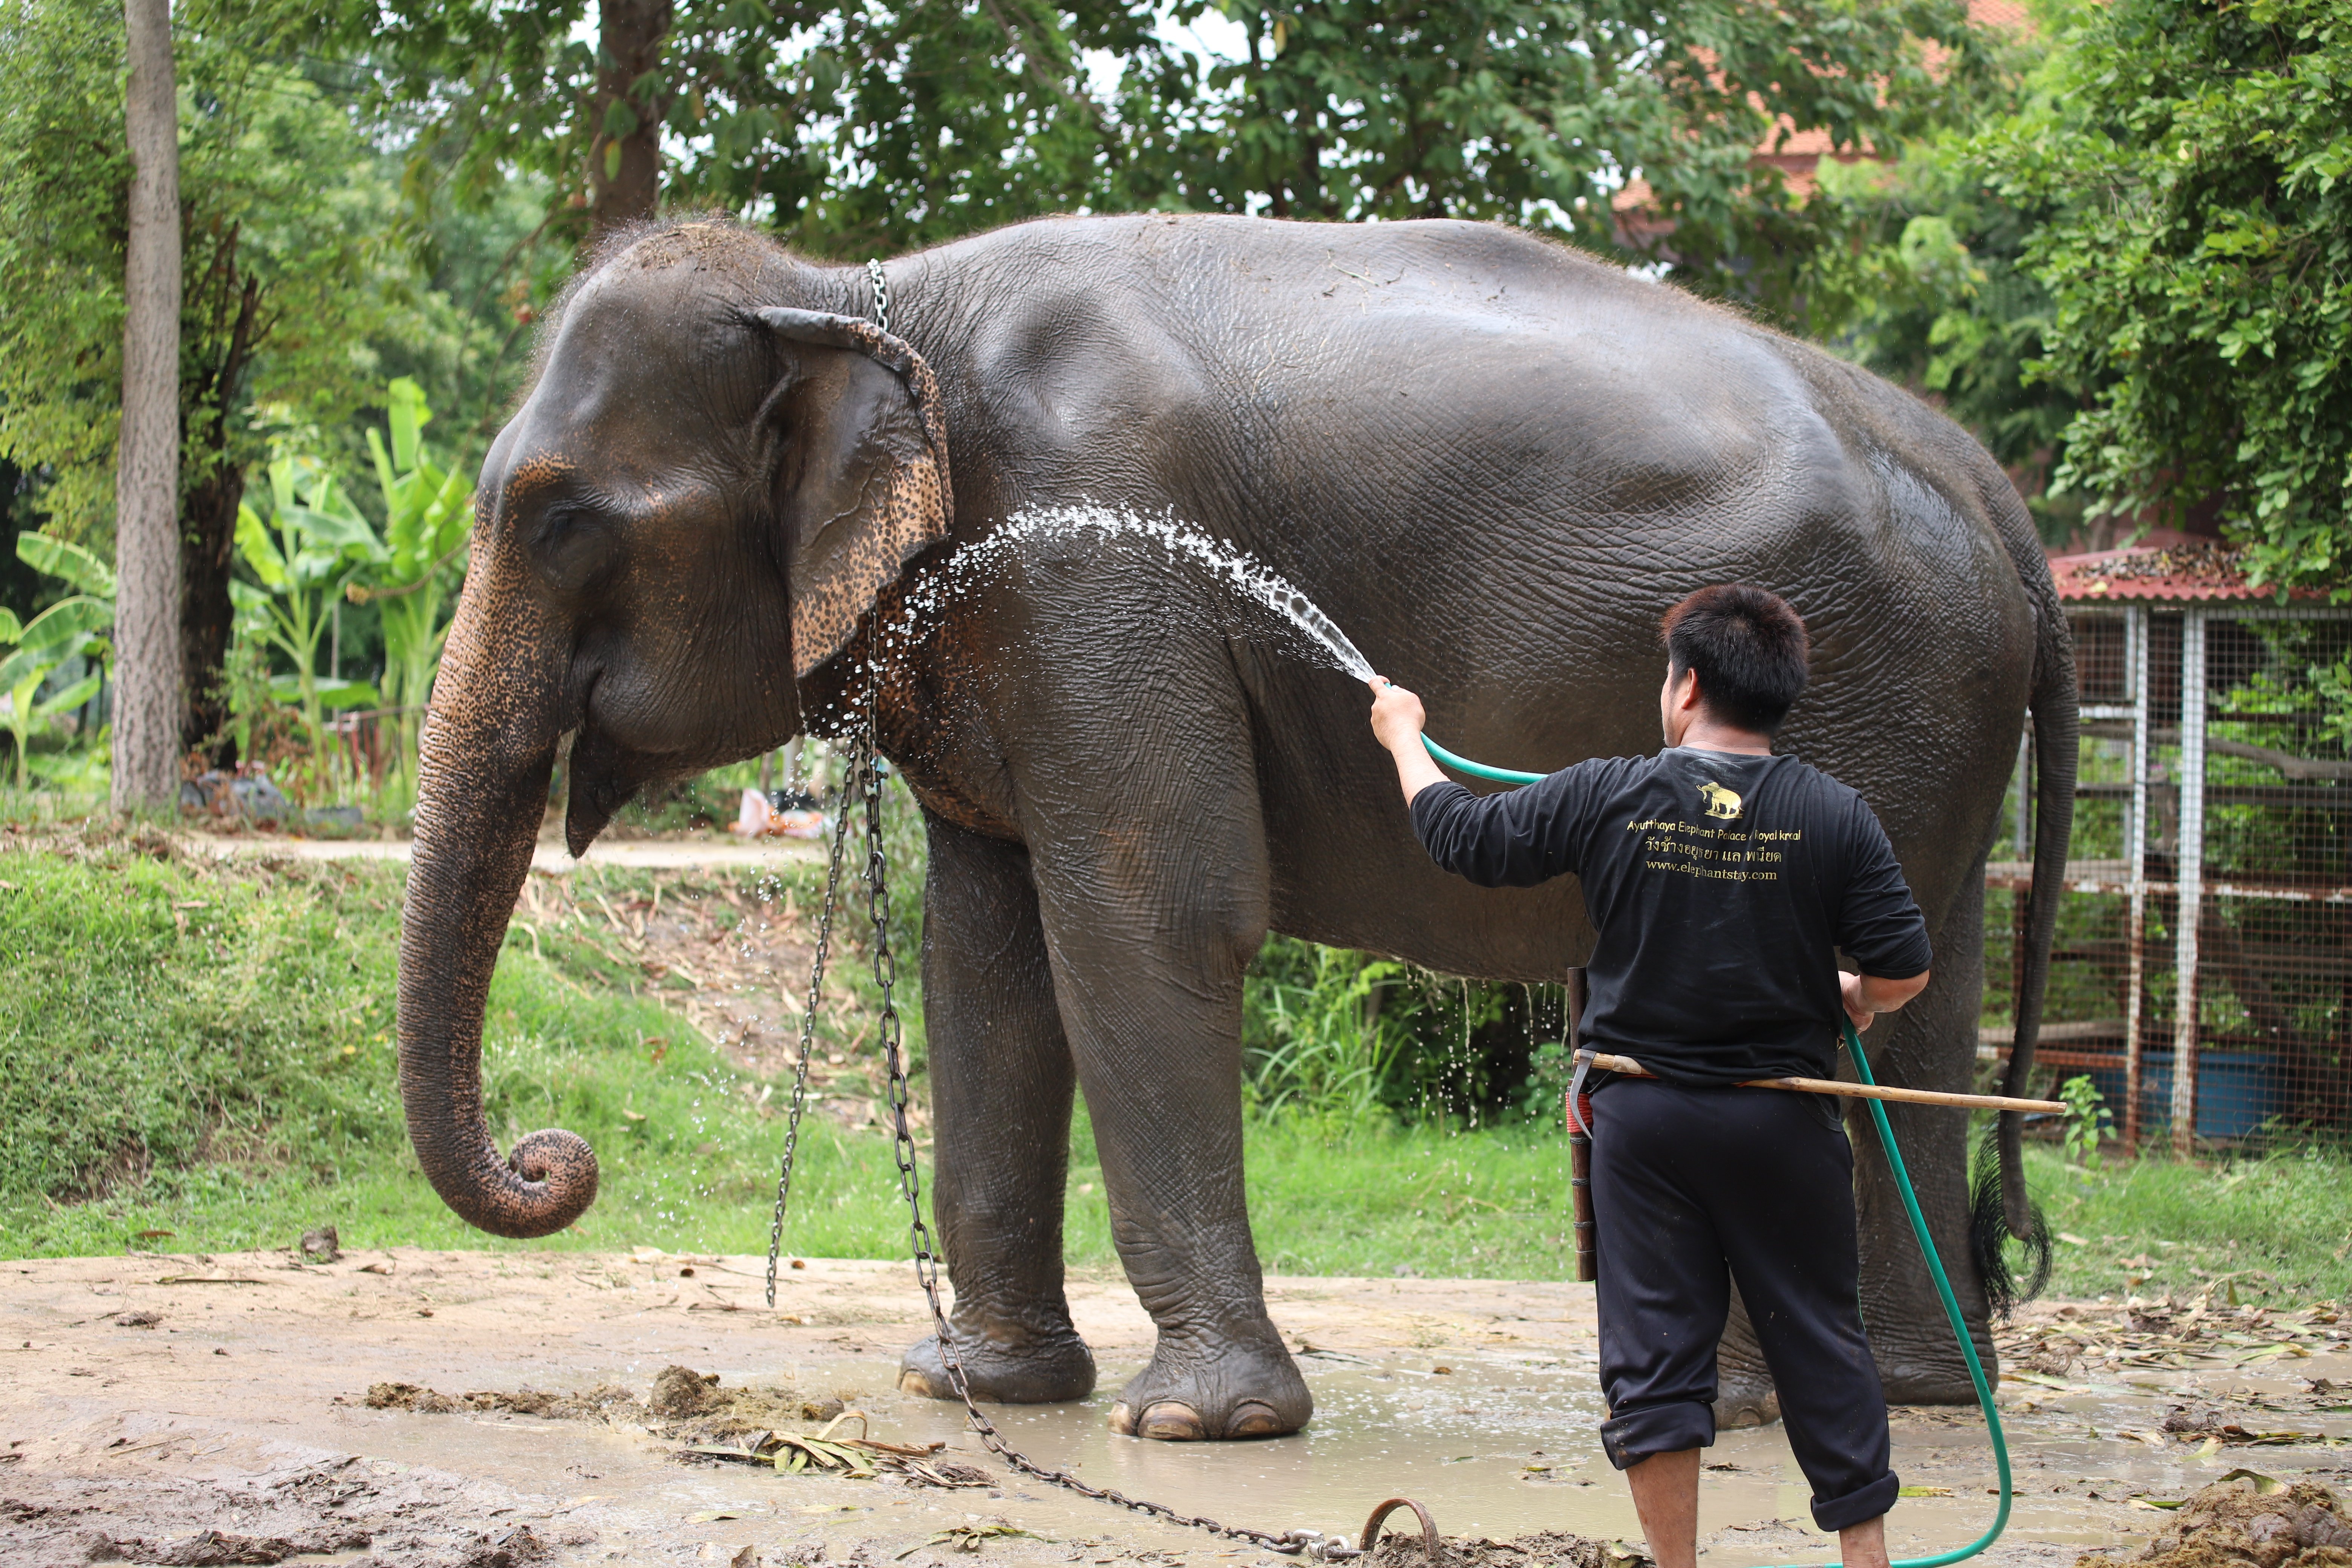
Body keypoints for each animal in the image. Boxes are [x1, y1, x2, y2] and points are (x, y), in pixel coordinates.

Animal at [400, 211, 2079, 1448]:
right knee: (1914, 1004)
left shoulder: (1096, 575)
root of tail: (1991, 482)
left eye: (558, 518)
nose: (557, 1157)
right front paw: (970, 1386)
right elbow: (986, 955)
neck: (856, 288)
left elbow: (1146, 915)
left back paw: (1783, 1404)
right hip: (1922, 731)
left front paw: (1196, 1427)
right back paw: (1894, 1393)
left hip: (1880, 688)